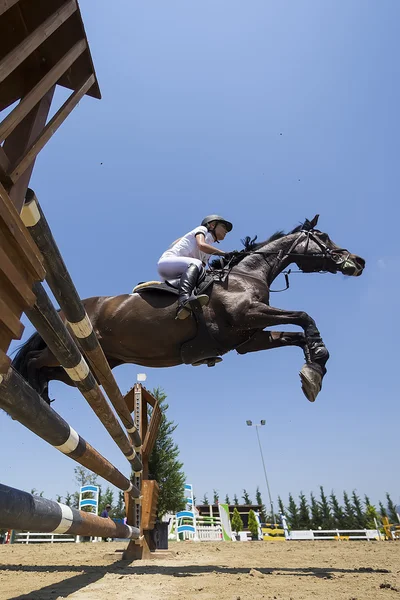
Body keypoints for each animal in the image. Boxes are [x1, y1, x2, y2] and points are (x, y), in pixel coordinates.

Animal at [11, 216, 366, 404]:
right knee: (34, 359)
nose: (358, 261)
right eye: (323, 236)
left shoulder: (248, 339)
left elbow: (297, 334)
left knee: (55, 372)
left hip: (94, 365)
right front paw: (316, 363)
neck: (247, 274)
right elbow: (305, 317)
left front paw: (313, 372)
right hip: (70, 349)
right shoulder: (248, 314)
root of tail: (62, 311)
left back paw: (39, 392)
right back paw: (30, 390)